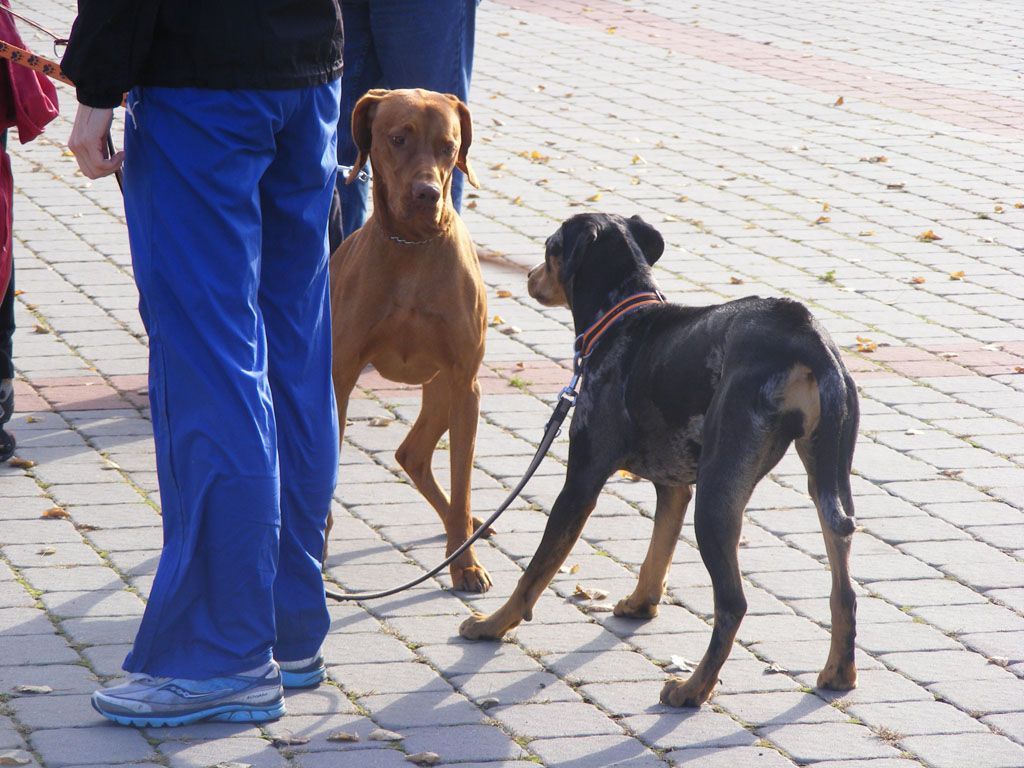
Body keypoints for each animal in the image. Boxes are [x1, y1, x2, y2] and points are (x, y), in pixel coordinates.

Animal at [325, 90, 489, 593]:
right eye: (397, 139)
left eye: (448, 146)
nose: (427, 193)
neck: (412, 248)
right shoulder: (338, 377)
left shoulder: (464, 382)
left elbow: (462, 485)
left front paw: (465, 564)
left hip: (444, 390)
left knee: (413, 454)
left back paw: (466, 529)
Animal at [460, 214, 860, 708]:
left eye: (551, 248)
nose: (531, 276)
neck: (622, 316)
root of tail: (806, 339)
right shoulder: (675, 488)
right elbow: (657, 554)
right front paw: (640, 605)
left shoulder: (581, 483)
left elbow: (533, 573)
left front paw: (491, 625)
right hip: (828, 480)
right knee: (844, 590)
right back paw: (839, 673)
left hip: (717, 498)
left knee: (733, 603)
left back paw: (693, 689)